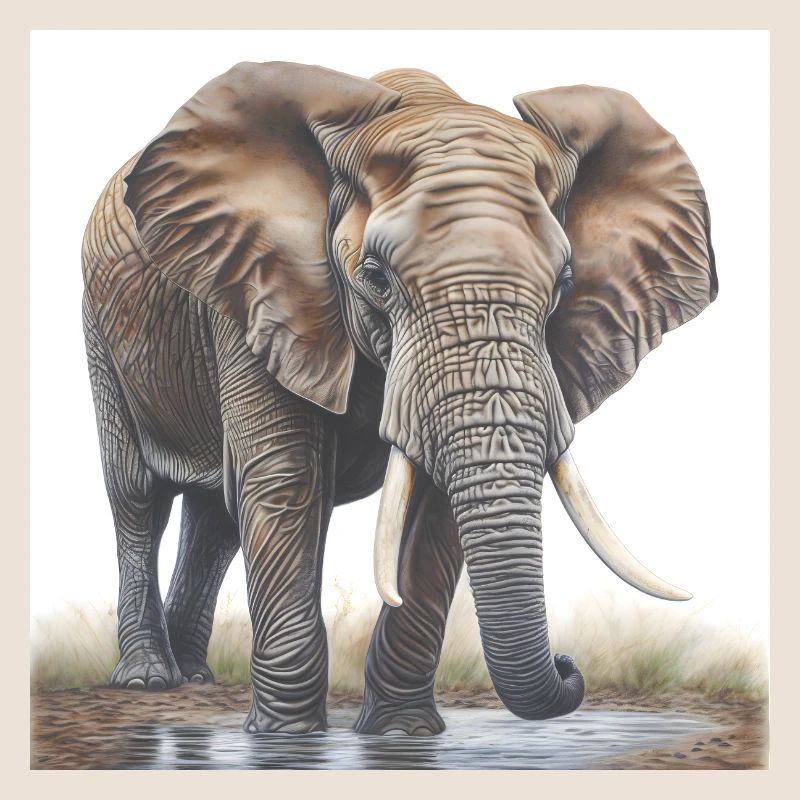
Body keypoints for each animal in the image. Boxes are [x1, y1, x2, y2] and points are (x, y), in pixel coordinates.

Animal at [81, 61, 717, 735]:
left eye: (565, 283)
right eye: (376, 278)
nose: (570, 666)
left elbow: (434, 504)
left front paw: (400, 732)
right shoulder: (257, 289)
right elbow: (286, 479)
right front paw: (286, 739)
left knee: (216, 520)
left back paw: (196, 677)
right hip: (102, 330)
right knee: (138, 498)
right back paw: (149, 678)